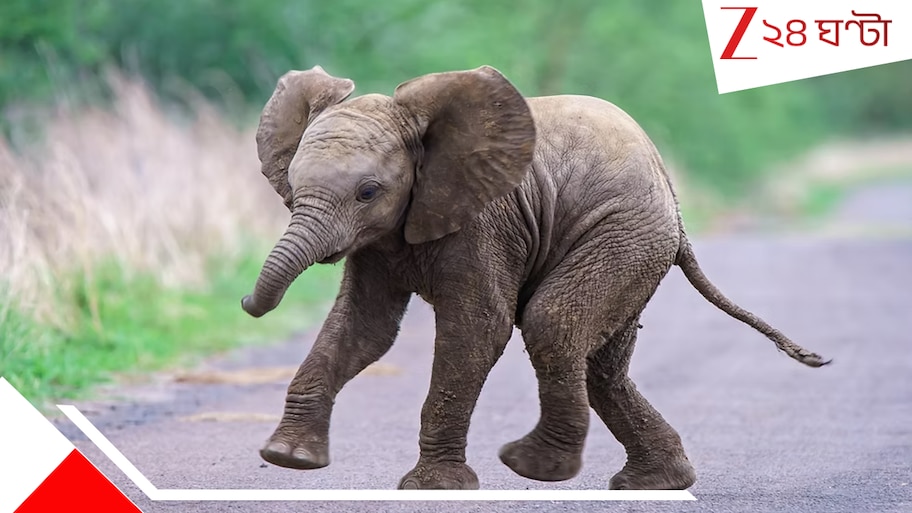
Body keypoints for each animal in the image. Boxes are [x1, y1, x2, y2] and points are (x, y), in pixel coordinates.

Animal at [241, 65, 829, 490]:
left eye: (368, 191)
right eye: (291, 184)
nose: (246, 302)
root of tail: (675, 203)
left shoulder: (486, 221)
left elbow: (479, 328)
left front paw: (434, 488)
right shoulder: (382, 240)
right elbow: (363, 330)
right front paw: (289, 458)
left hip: (623, 236)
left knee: (552, 324)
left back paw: (532, 468)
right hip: (635, 249)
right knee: (599, 366)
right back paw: (657, 483)